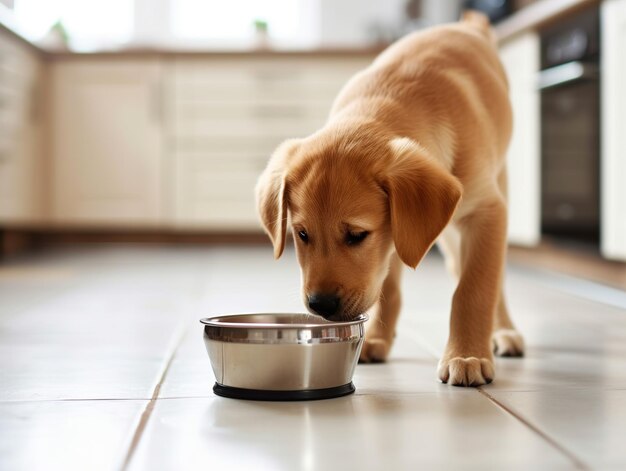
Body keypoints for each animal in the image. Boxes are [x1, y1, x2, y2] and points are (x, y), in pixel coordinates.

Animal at [254, 12, 520, 388]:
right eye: (302, 234)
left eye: (357, 235)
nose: (321, 305)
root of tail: (469, 25)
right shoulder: (394, 235)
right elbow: (388, 285)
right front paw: (377, 338)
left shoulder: (486, 211)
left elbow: (474, 288)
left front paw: (467, 355)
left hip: (498, 187)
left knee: (493, 280)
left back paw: (505, 332)